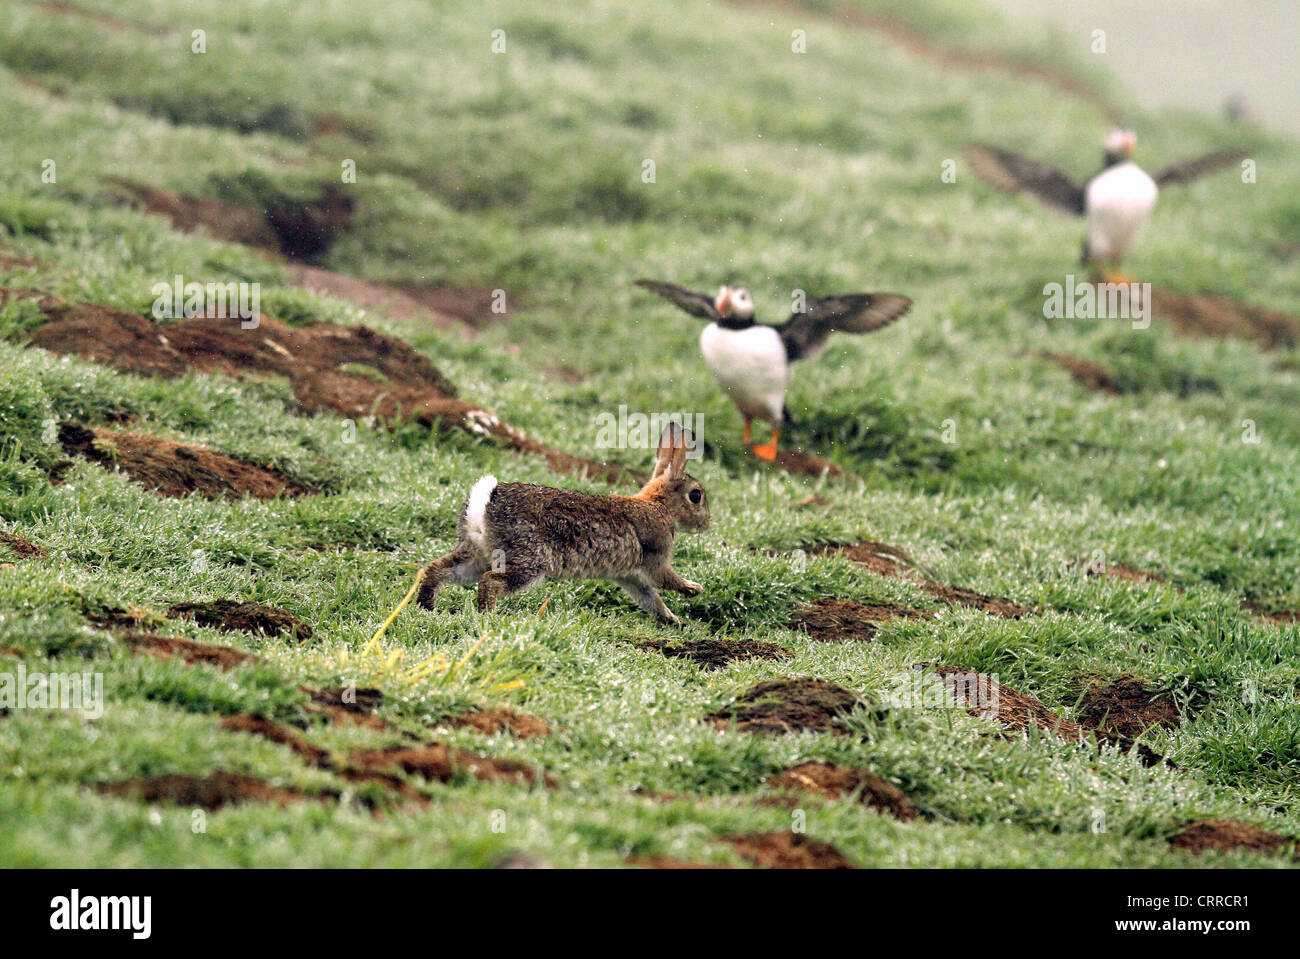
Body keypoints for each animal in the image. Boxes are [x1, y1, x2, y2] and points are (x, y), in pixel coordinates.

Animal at [417, 423, 710, 623]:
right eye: (696, 496)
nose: (707, 523)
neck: (661, 506)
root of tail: (486, 502)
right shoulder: (655, 555)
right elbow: (664, 579)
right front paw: (693, 589)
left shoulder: (628, 575)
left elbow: (649, 597)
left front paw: (673, 620)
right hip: (527, 560)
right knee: (491, 582)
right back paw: (488, 617)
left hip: (476, 554)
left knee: (437, 570)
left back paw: (426, 607)